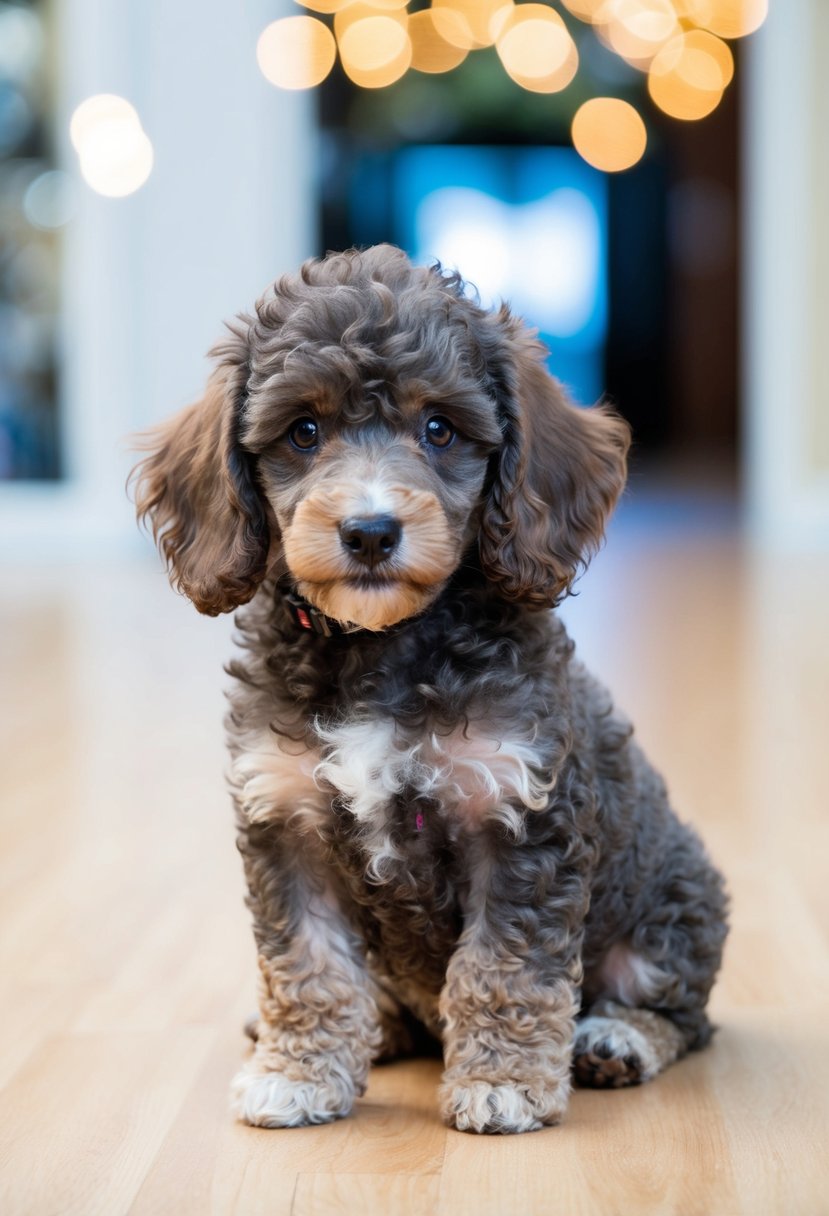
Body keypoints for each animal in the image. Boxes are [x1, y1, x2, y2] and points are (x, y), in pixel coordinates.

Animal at [132, 241, 724, 1133]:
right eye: (303, 431)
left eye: (438, 428)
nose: (370, 530)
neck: (384, 646)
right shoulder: (286, 823)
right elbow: (308, 963)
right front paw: (298, 1072)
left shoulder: (518, 820)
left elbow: (505, 965)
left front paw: (504, 1081)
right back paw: (372, 1025)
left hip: (672, 909)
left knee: (679, 1014)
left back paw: (615, 1040)